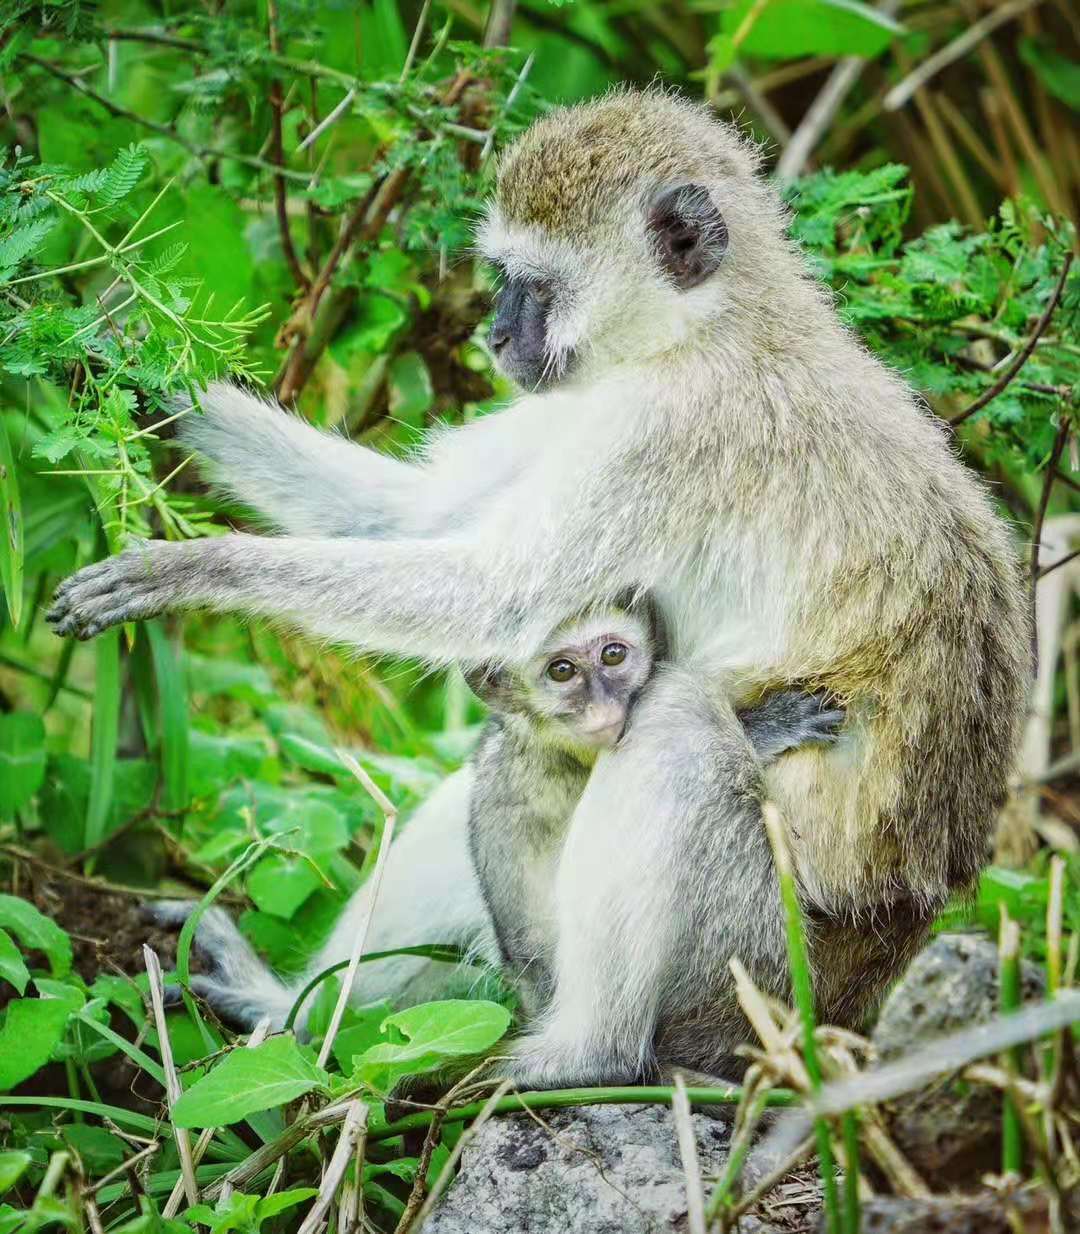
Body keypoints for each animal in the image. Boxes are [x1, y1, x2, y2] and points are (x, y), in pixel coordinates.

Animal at [50, 91, 1031, 1085]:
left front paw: (185, 569)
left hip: (757, 970)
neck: (707, 330)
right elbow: (416, 515)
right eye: (502, 280)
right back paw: (288, 1017)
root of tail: (880, 966)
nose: (494, 336)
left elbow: (491, 592)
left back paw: (580, 1058)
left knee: (673, 728)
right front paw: (106, 335)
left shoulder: (670, 431)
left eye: (535, 285)